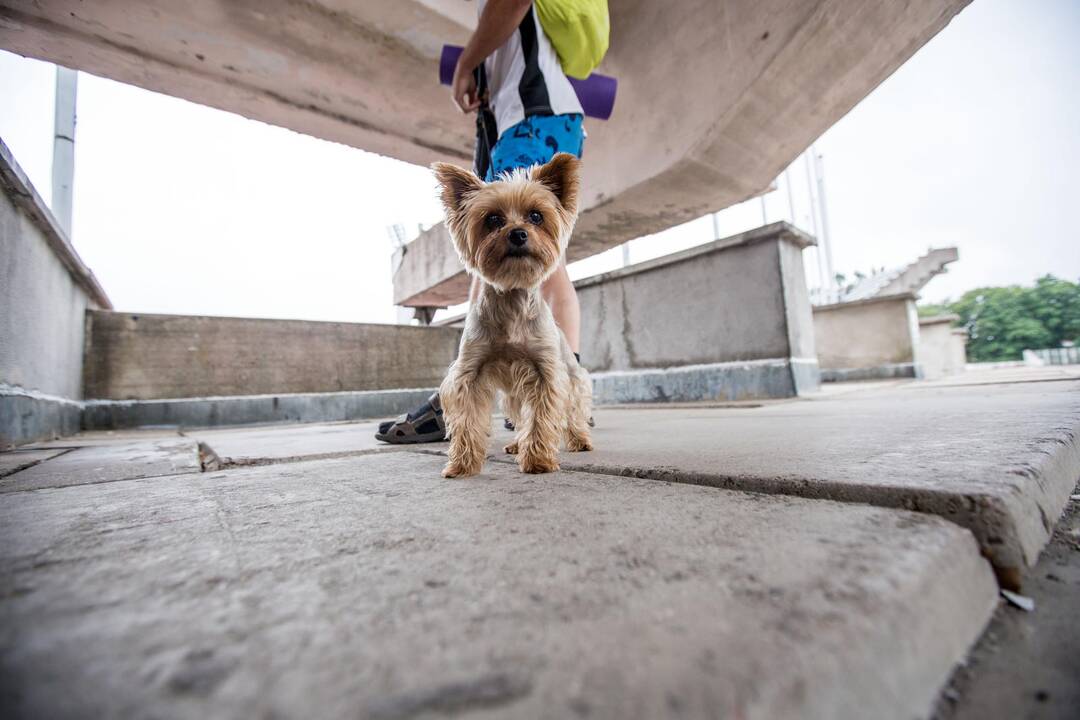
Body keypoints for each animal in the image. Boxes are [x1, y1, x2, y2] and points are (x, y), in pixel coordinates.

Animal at [434, 153, 596, 479]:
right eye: (493, 219)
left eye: (536, 216)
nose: (518, 233)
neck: (511, 295)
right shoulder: (469, 373)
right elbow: (467, 418)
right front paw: (462, 464)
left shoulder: (546, 373)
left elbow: (542, 416)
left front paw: (538, 461)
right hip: (514, 393)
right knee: (520, 415)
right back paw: (516, 444)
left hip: (571, 374)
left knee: (573, 409)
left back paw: (579, 439)